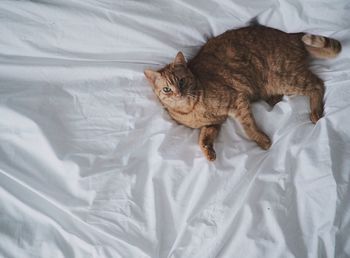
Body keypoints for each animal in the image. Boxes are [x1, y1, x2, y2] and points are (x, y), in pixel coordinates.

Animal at [144, 24, 342, 161]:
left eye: (182, 81)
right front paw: (209, 152)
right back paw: (273, 99)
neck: (191, 110)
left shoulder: (237, 101)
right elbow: (202, 138)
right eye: (167, 89)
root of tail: (289, 35)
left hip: (285, 79)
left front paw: (262, 141)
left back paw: (315, 113)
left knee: (318, 84)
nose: (178, 93)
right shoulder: (214, 124)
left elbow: (248, 128)